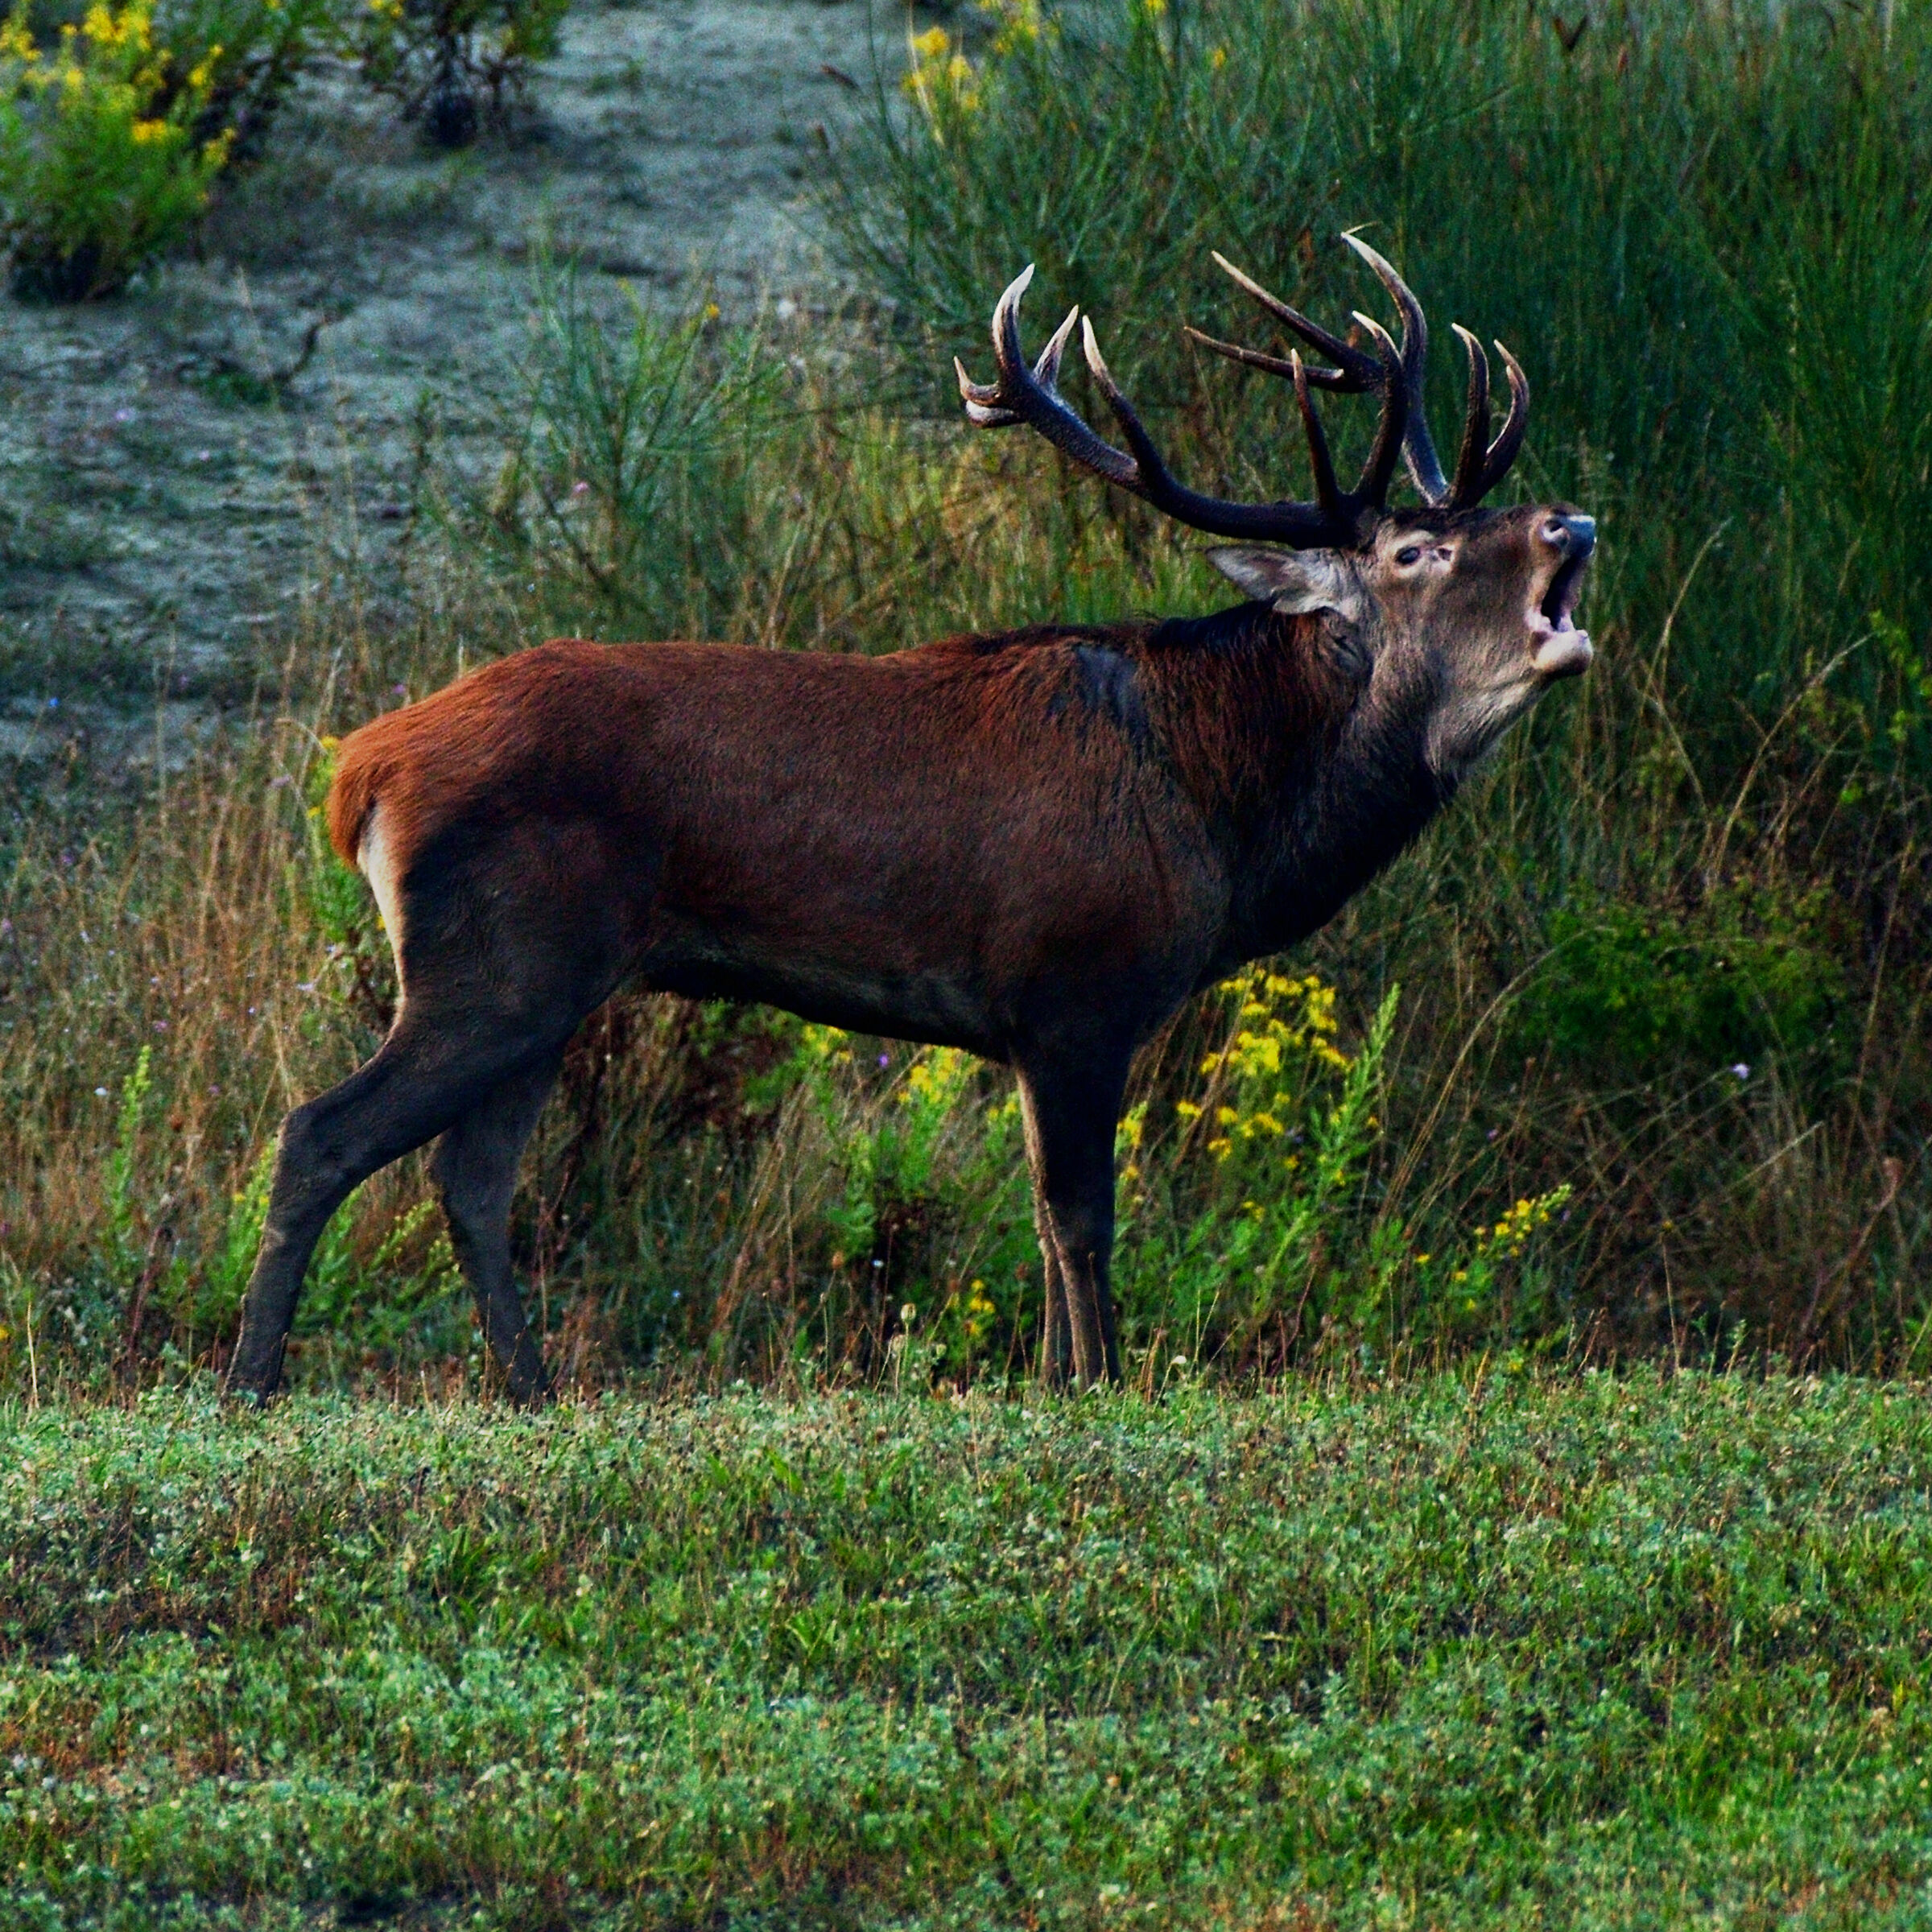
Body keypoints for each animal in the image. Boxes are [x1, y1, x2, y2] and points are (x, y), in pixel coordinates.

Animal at [224, 236, 1594, 1404]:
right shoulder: (1076, 984)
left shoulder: (1034, 1026)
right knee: (321, 1132)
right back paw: (253, 1383)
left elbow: (1040, 1222)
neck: (1222, 811)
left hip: (547, 988)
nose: (1570, 520)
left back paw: (534, 1391)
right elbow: (1081, 1218)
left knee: (470, 1179)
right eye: (1416, 550)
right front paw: (1100, 1386)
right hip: (498, 964)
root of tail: (362, 771)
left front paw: (1053, 1383)